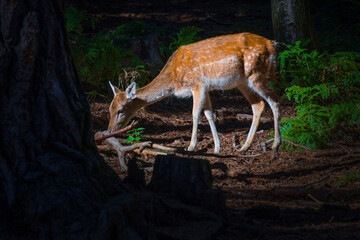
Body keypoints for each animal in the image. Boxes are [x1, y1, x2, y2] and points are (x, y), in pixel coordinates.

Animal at [107, 32, 282, 154]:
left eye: (120, 110)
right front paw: (217, 147)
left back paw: (275, 144)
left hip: (256, 73)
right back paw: (245, 146)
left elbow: (195, 113)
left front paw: (191, 146)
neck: (174, 78)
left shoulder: (197, 84)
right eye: (110, 108)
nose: (109, 130)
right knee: (258, 104)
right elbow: (209, 114)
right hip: (242, 81)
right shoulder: (206, 88)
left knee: (274, 99)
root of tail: (272, 44)